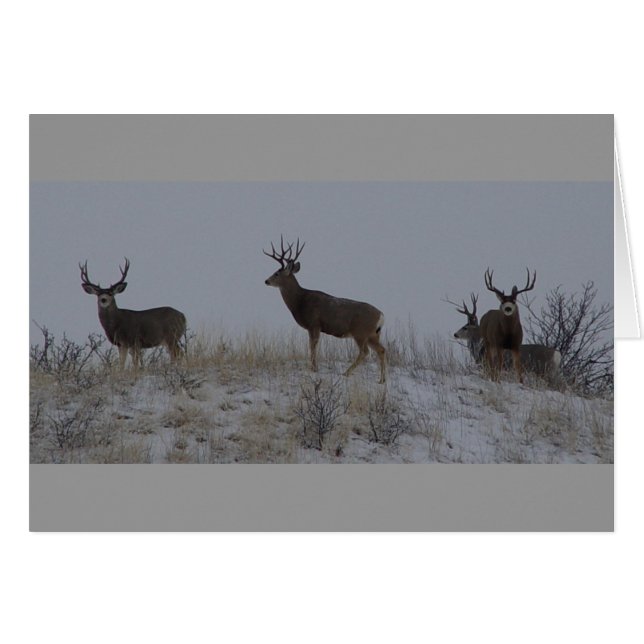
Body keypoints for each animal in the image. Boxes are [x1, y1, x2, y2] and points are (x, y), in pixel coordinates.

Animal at [263, 237, 387, 383]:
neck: (299, 301)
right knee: (382, 350)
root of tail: (381, 315)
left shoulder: (314, 324)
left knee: (365, 352)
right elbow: (312, 346)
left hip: (360, 332)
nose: (266, 281)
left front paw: (314, 369)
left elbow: (312, 346)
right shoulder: (313, 327)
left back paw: (346, 373)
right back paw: (382, 380)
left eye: (276, 273)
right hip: (373, 334)